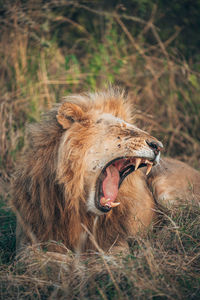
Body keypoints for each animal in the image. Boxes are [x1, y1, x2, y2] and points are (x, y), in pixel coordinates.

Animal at [12, 88, 200, 254]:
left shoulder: (115, 241)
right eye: (121, 128)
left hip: (165, 191)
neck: (75, 204)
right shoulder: (29, 239)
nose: (159, 146)